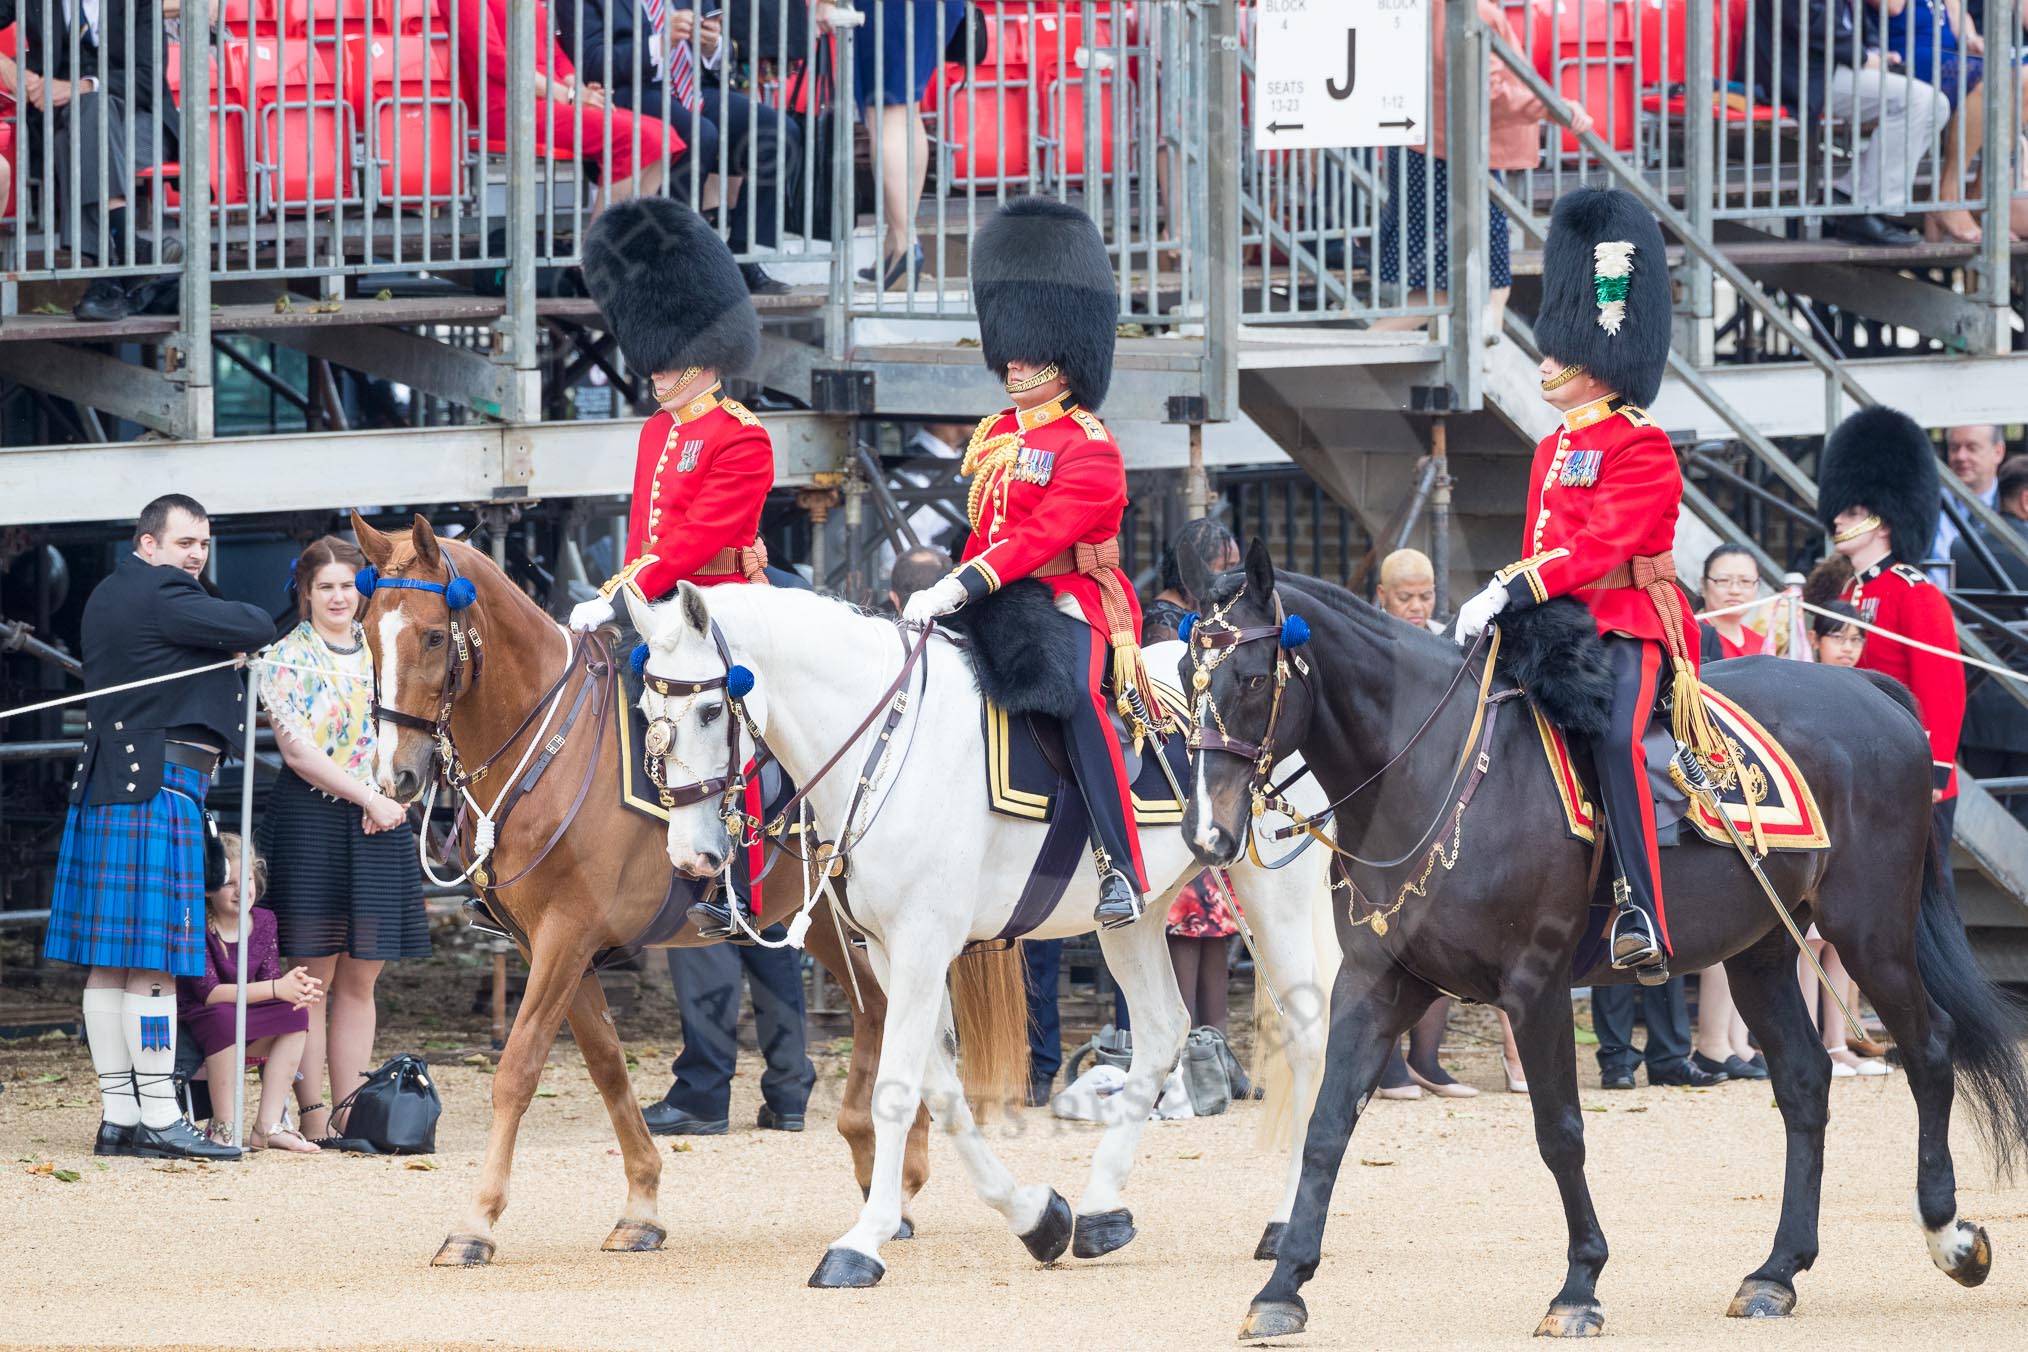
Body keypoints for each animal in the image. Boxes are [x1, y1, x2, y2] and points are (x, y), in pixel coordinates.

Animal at [348, 518, 949, 1272]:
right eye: (367, 633)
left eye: (433, 637)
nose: (395, 775)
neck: (551, 750)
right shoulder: (550, 945)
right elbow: (608, 1066)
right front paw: (641, 1206)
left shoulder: (566, 935)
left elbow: (517, 1069)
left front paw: (475, 1222)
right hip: (819, 922)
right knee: (880, 1008)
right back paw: (887, 1175)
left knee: (900, 1011)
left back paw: (897, 1174)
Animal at [1184, 539, 2019, 1345]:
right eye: (1188, 686)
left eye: (1251, 679)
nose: (1207, 834)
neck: (1431, 770)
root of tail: (1873, 691)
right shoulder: (1375, 981)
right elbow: (1326, 1128)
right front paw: (1281, 1288)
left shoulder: (1535, 986)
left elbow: (1560, 1132)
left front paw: (1579, 1286)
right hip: (1761, 950)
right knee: (1806, 1081)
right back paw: (1777, 1272)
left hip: (1869, 929)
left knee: (1930, 1049)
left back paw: (1948, 1235)